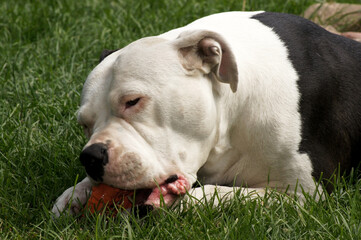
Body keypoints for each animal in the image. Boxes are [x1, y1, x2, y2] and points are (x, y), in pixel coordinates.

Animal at [51, 12, 360, 217]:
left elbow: (218, 194)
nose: (91, 156)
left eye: (133, 101)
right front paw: (74, 195)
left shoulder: (303, 194)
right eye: (85, 124)